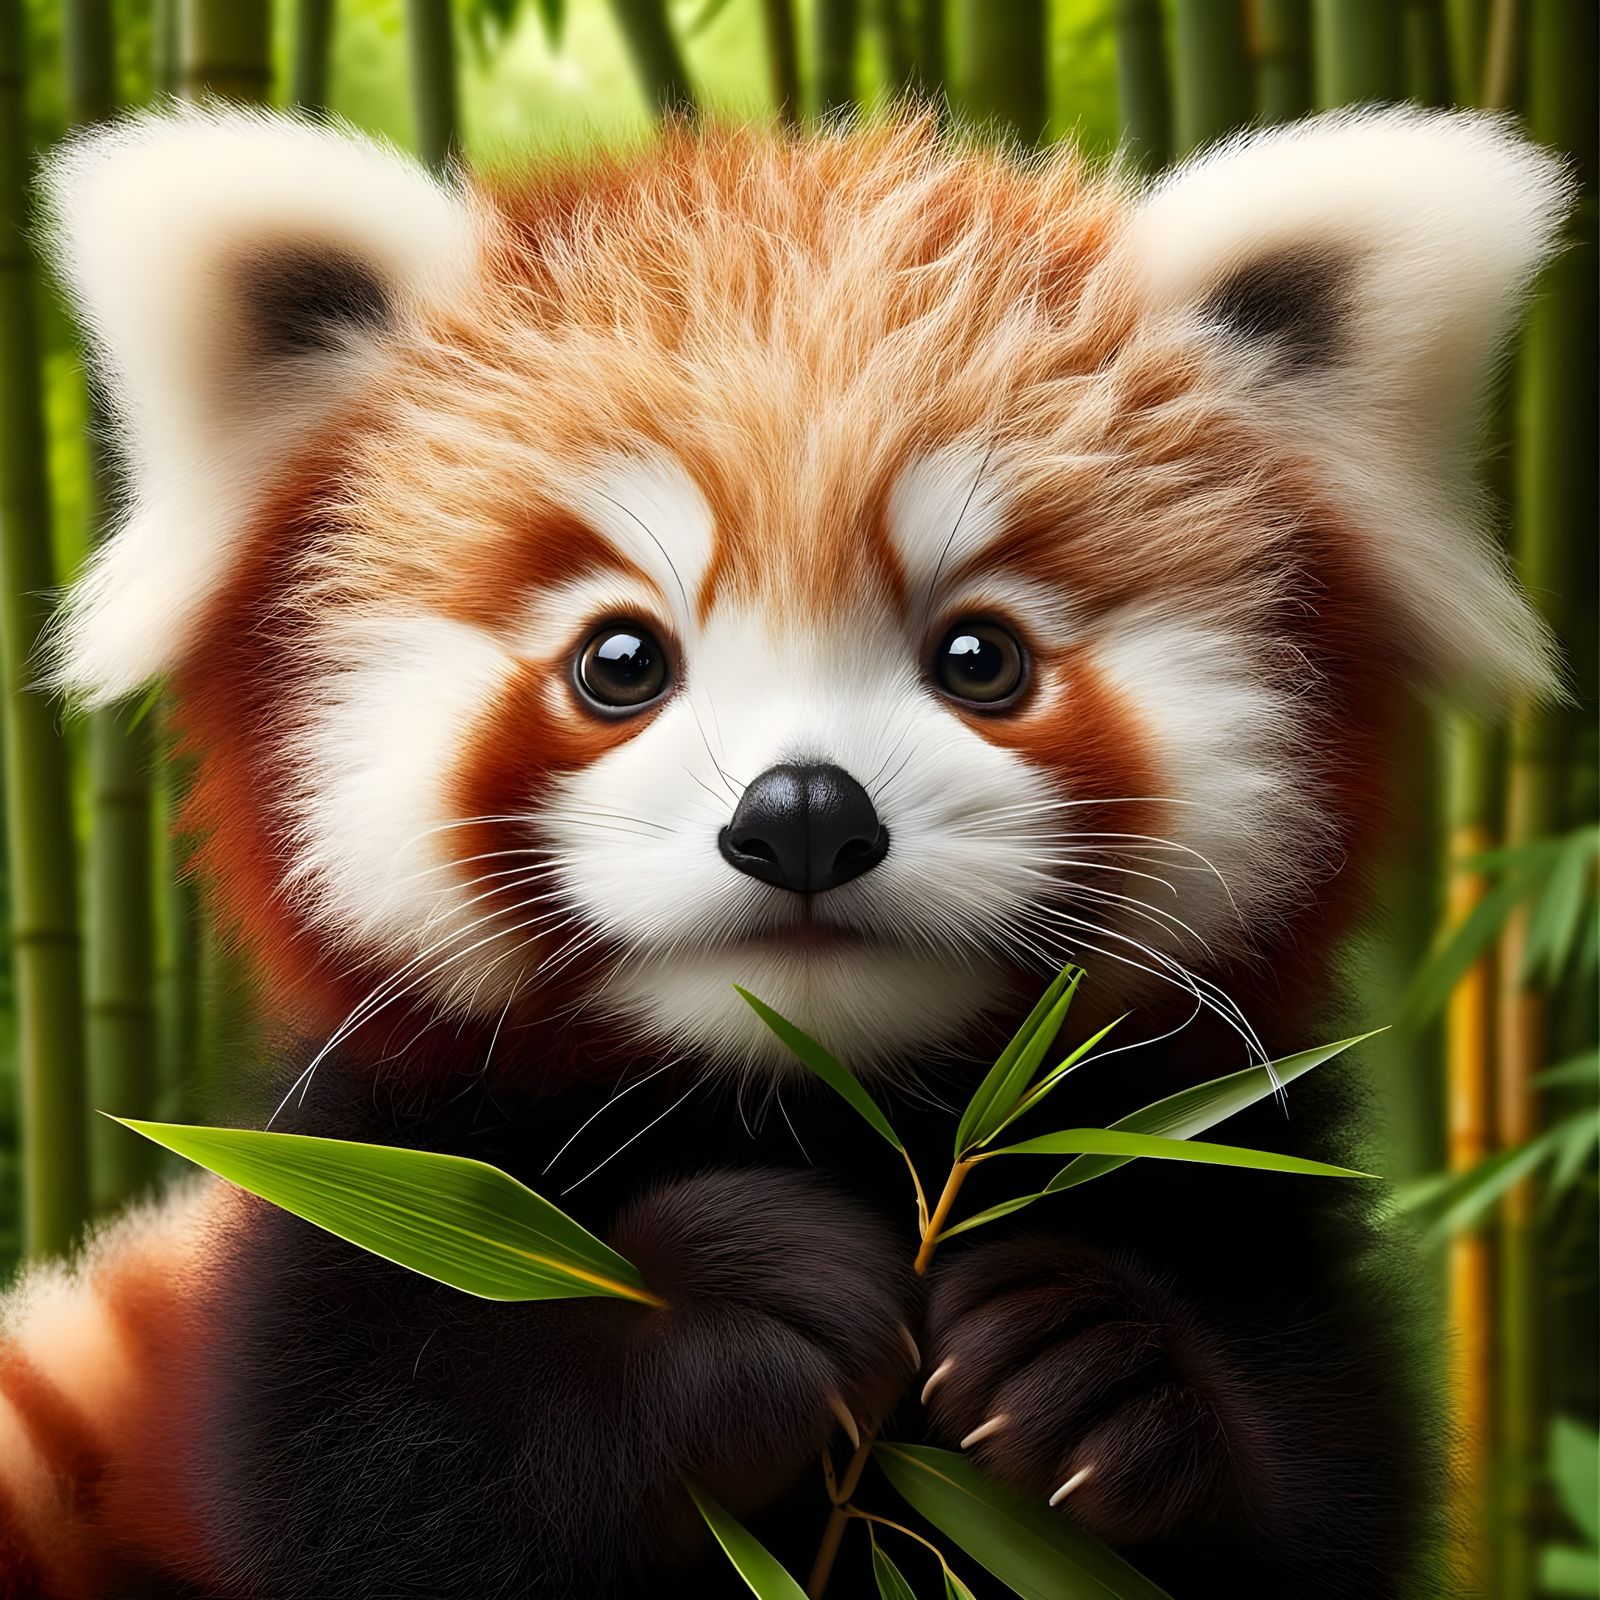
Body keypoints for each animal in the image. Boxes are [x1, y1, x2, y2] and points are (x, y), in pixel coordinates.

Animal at [0, 104, 1566, 1599]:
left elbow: (1318, 1493)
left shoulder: (1241, 1200)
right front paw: (724, 1306)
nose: (803, 812)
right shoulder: (348, 1222)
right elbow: (387, 1484)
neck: (817, 1108)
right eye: (619, 660)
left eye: (981, 656)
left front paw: (1101, 1366)